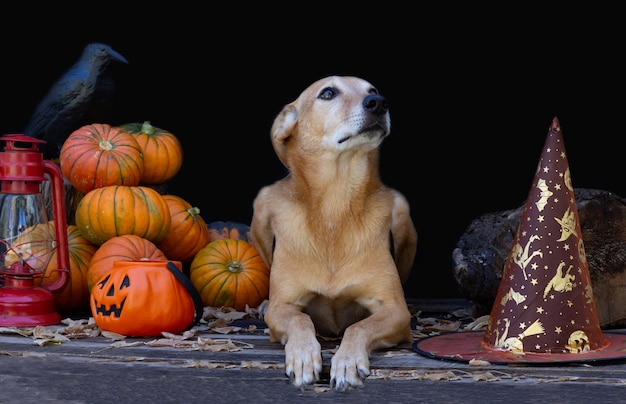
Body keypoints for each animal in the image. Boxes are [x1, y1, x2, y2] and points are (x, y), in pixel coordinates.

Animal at [249, 76, 414, 392]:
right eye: (328, 93)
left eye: (372, 91)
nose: (379, 102)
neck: (334, 206)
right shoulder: (283, 308)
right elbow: (300, 320)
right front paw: (303, 356)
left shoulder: (396, 310)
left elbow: (359, 326)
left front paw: (347, 361)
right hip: (261, 204)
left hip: (402, 211)